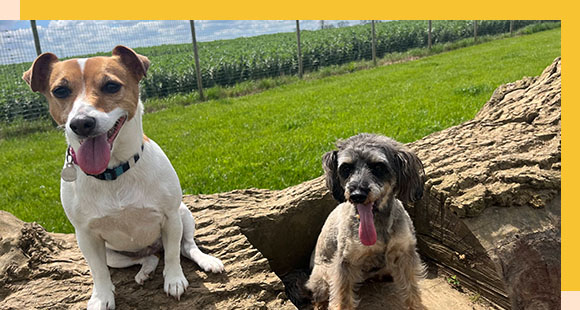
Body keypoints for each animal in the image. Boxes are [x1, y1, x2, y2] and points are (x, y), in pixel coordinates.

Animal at [23, 44, 222, 308]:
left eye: (111, 86)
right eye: (60, 90)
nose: (82, 123)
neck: (113, 172)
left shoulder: (170, 218)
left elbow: (172, 255)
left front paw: (174, 280)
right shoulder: (86, 237)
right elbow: (98, 271)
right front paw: (101, 297)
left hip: (183, 215)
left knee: (185, 247)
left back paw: (205, 260)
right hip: (114, 255)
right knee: (148, 258)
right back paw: (145, 270)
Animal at [308, 133, 426, 310]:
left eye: (378, 167)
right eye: (346, 168)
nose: (357, 195)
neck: (379, 226)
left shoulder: (404, 253)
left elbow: (411, 290)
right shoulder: (345, 262)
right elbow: (342, 298)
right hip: (321, 279)